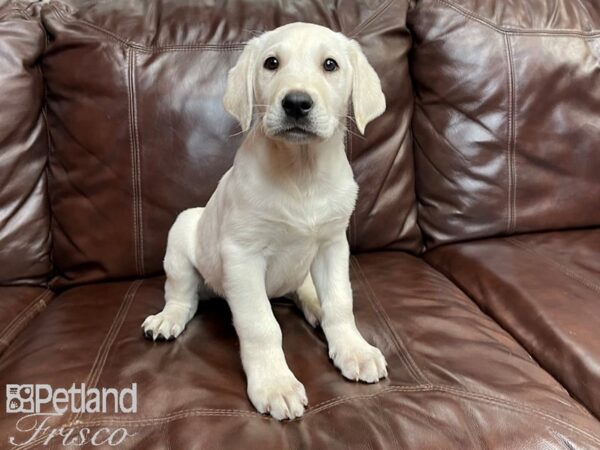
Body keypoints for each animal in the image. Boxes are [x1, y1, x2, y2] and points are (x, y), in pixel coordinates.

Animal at [143, 22, 386, 422]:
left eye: (330, 65)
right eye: (271, 63)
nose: (296, 103)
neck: (302, 173)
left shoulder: (333, 245)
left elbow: (340, 303)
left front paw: (354, 349)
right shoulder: (243, 255)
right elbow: (261, 325)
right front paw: (275, 384)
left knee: (304, 290)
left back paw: (314, 305)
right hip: (182, 234)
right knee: (182, 294)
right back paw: (168, 318)